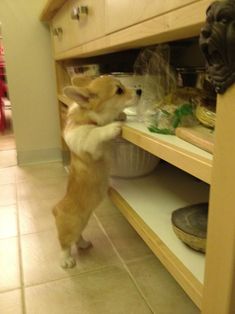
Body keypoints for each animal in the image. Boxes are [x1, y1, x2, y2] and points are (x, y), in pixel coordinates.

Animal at [52, 74, 141, 268]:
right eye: (119, 90)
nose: (140, 90)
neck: (88, 117)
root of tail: (56, 208)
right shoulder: (89, 144)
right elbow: (96, 132)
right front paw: (112, 126)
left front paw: (120, 115)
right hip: (71, 224)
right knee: (64, 242)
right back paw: (66, 260)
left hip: (83, 222)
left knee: (77, 237)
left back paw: (84, 243)